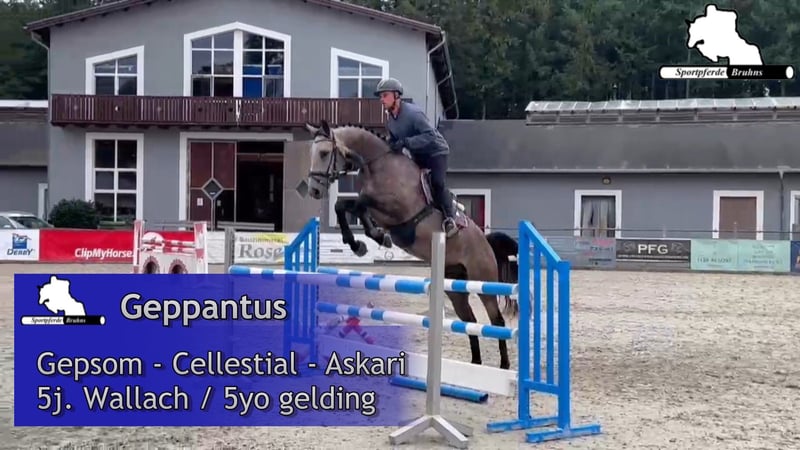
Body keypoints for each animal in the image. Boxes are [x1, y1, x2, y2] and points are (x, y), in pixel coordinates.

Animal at [304, 119, 519, 370]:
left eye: (324, 153)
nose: (314, 190)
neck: (378, 164)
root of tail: (486, 243)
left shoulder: (395, 207)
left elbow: (358, 203)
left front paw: (364, 241)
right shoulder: (380, 213)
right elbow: (348, 206)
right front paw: (366, 241)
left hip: (483, 281)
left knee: (496, 320)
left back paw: (504, 365)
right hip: (455, 287)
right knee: (470, 321)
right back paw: (475, 363)